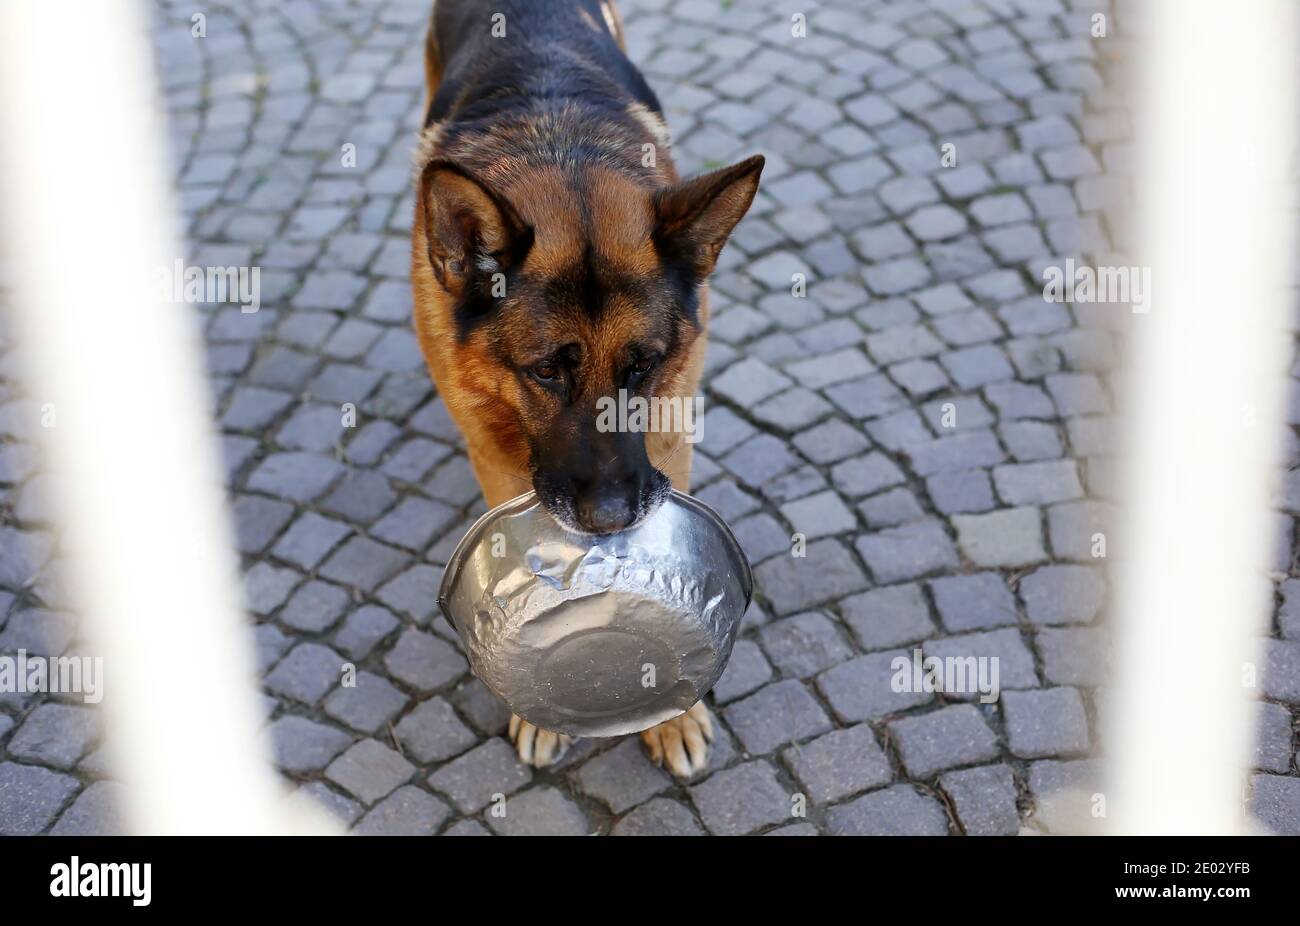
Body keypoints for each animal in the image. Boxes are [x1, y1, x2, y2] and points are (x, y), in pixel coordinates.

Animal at [413, 0, 759, 775]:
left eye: (641, 365)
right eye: (546, 371)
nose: (609, 520)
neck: (560, 154)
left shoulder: (668, 430)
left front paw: (676, 714)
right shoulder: (495, 451)